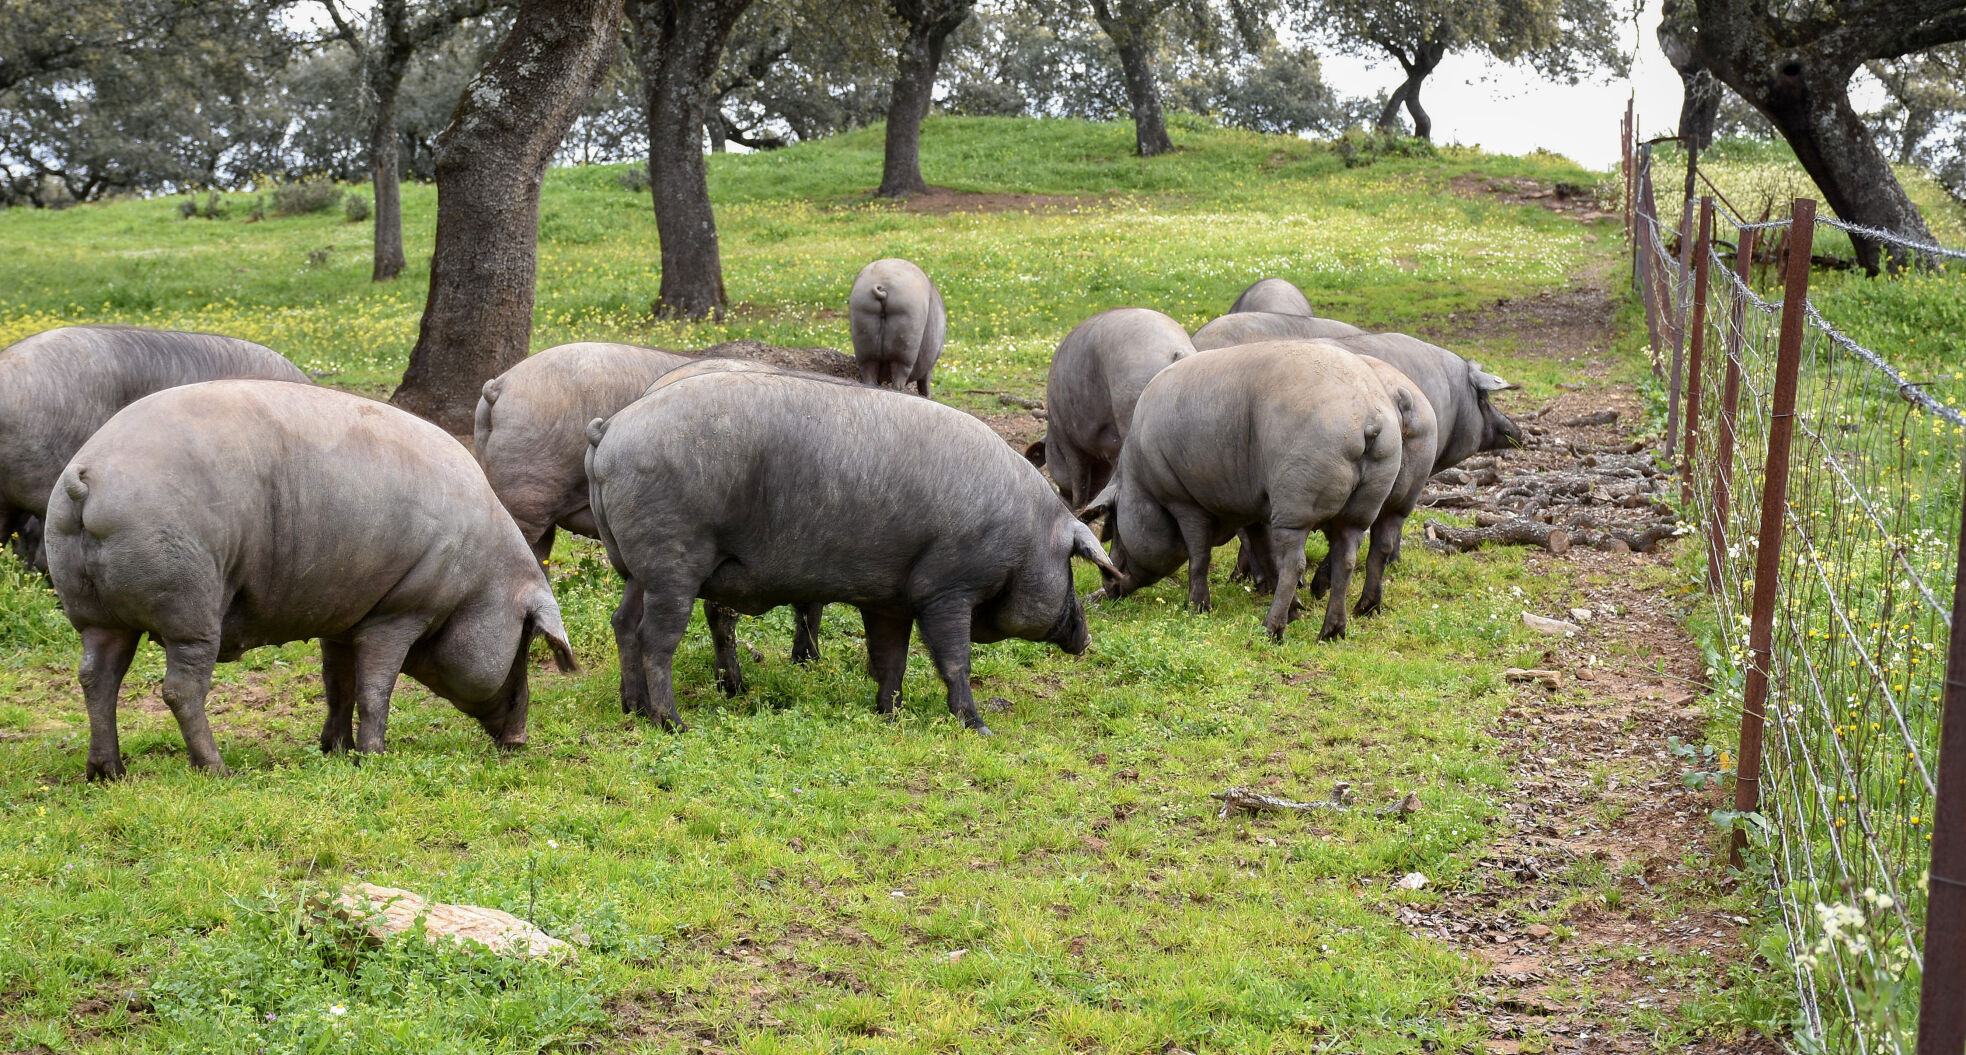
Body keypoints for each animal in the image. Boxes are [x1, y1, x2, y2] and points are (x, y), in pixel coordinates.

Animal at [45, 381, 577, 780]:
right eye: (525, 642)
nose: (520, 741)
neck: (477, 581)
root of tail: (87, 475)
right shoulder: (400, 612)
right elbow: (376, 688)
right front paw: (374, 757)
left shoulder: (342, 619)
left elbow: (338, 684)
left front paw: (334, 750)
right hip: (188, 606)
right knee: (179, 689)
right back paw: (217, 770)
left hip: (95, 615)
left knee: (96, 677)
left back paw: (108, 773)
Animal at [586, 365, 1115, 734]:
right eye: (1072, 563)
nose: (1087, 639)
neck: (1024, 534)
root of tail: (610, 427)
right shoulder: (946, 588)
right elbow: (953, 660)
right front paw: (980, 727)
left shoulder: (889, 601)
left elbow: (891, 658)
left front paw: (891, 716)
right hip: (671, 562)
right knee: (656, 638)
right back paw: (673, 723)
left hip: (636, 570)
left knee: (622, 623)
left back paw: (632, 709)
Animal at [848, 258, 946, 396]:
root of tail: (882, 286)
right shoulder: (929, 367)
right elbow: (925, 382)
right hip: (906, 342)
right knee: (900, 374)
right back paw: (900, 390)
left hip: (862, 331)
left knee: (869, 370)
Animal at [1080, 340, 1402, 642]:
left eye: (1114, 527)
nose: (1107, 587)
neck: (1141, 481)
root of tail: (1368, 415)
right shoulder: (1254, 511)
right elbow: (1263, 551)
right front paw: (1296, 611)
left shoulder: (1185, 502)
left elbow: (1199, 556)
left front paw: (1197, 608)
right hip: (1362, 508)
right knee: (1345, 559)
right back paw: (1331, 633)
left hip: (1296, 504)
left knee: (1295, 563)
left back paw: (1271, 630)